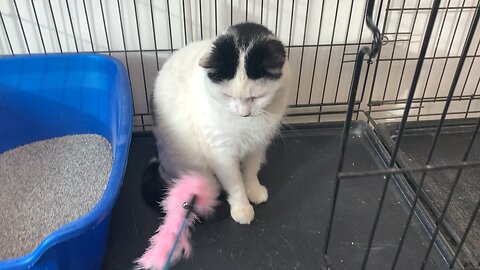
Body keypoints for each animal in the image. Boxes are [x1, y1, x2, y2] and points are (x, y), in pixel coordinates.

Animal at [152, 22, 290, 224]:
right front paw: (242, 208)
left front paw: (253, 190)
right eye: (228, 96)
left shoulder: (257, 145)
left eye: (257, 97)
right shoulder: (221, 152)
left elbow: (250, 171)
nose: (244, 113)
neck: (246, 126)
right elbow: (235, 183)